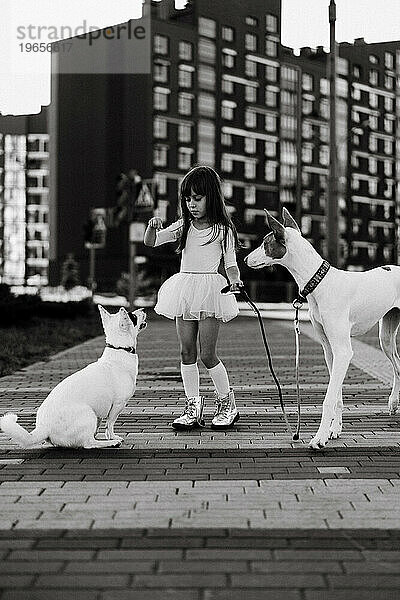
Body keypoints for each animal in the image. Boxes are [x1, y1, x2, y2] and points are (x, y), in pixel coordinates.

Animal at [0, 308, 147, 448]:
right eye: (133, 316)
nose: (143, 309)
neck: (120, 349)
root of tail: (44, 428)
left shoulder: (102, 412)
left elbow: (101, 425)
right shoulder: (118, 405)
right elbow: (110, 424)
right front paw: (112, 438)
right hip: (89, 414)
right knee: (88, 443)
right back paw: (110, 443)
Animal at [245, 209, 400, 448]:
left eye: (265, 243)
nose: (244, 259)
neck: (319, 284)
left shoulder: (344, 351)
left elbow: (328, 398)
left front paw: (319, 437)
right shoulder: (330, 350)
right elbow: (336, 396)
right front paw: (333, 431)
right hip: (385, 337)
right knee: (398, 365)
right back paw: (393, 402)